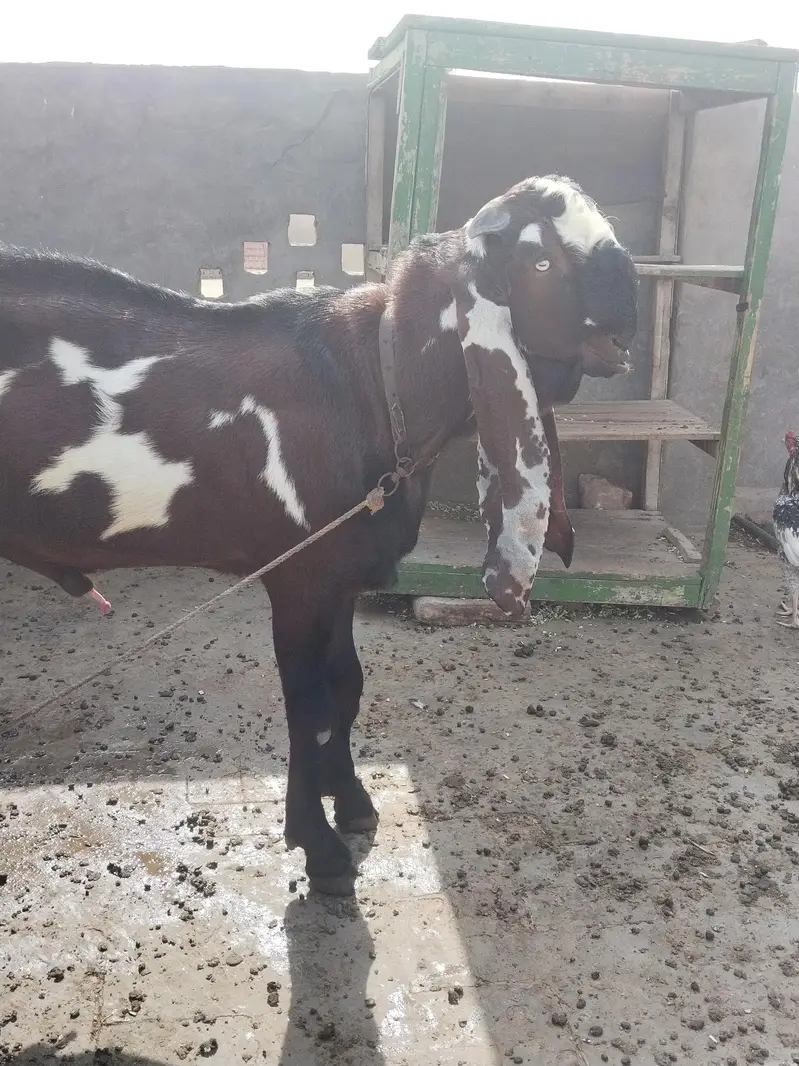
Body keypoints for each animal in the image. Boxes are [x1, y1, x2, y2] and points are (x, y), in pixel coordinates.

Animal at [0, 175, 637, 894]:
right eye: (540, 261)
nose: (630, 302)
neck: (373, 385)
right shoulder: (297, 577)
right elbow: (306, 707)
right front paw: (319, 845)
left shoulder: (339, 577)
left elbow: (347, 686)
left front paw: (352, 800)